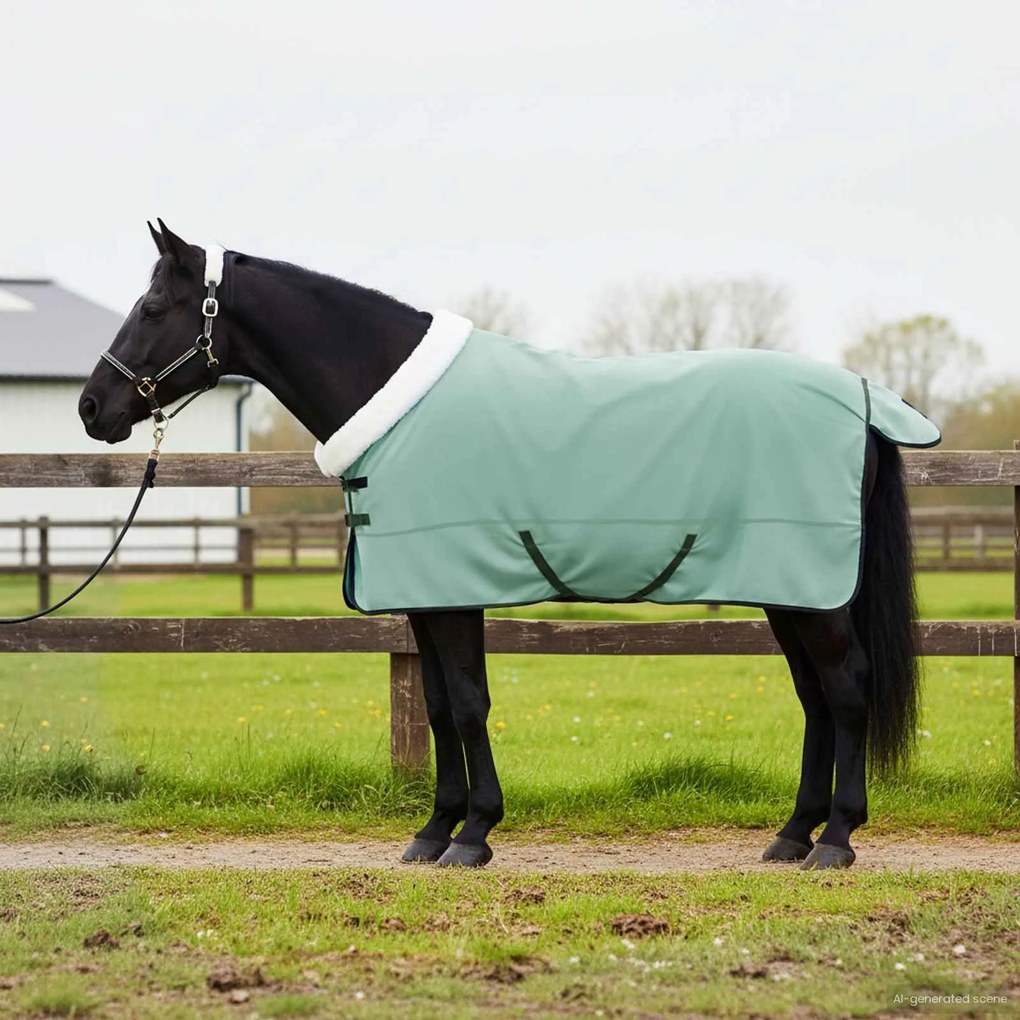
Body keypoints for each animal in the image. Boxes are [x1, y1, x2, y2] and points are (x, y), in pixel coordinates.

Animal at [79, 221, 938, 871]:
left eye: (153, 306)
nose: (92, 406)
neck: (395, 403)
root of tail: (865, 400)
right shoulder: (423, 598)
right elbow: (435, 708)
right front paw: (434, 832)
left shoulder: (453, 593)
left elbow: (466, 704)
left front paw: (474, 835)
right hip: (790, 589)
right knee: (816, 698)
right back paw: (792, 835)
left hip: (814, 593)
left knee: (847, 689)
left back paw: (836, 839)